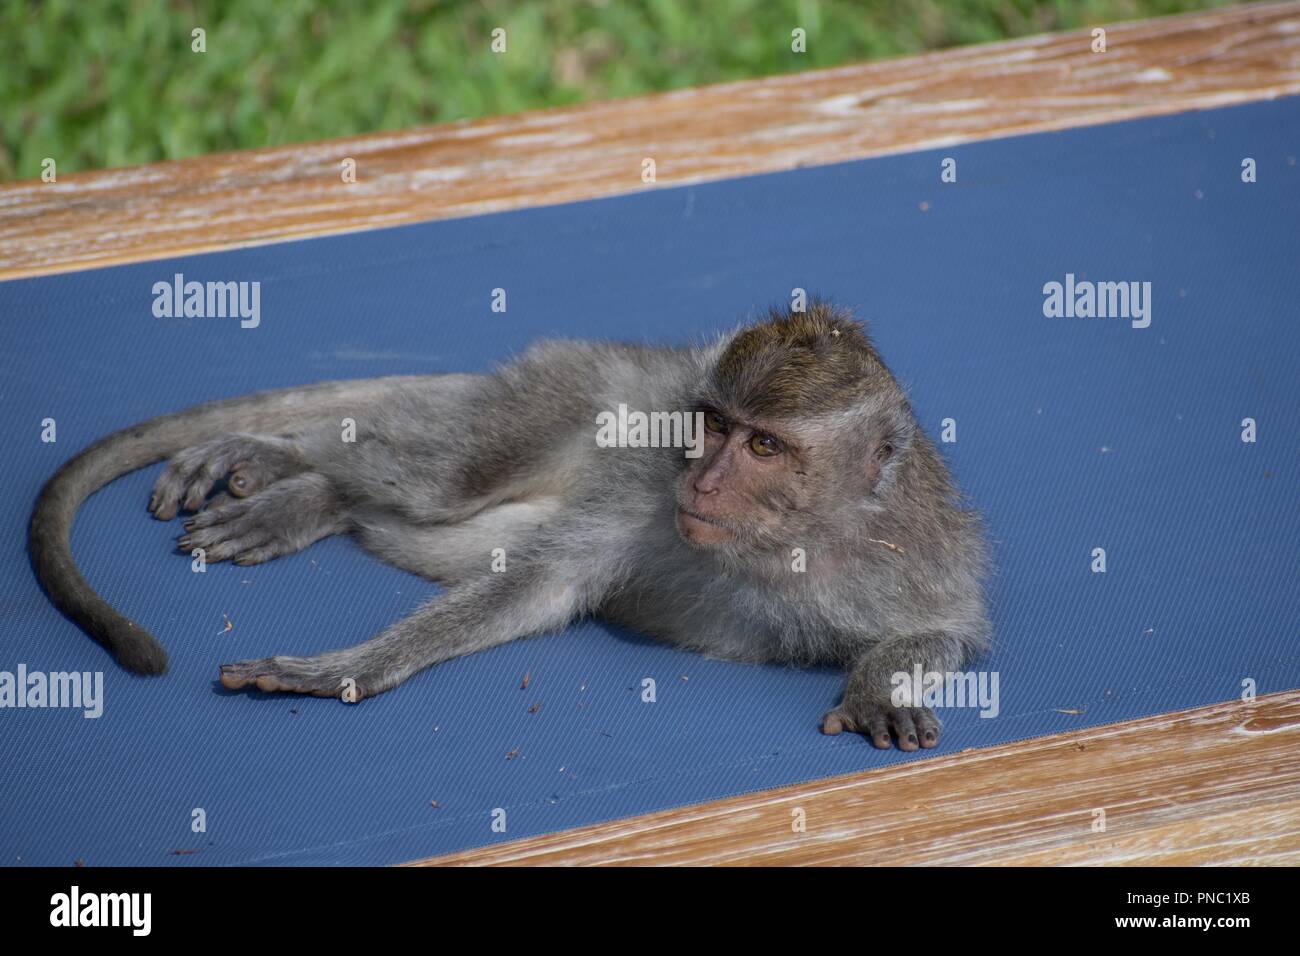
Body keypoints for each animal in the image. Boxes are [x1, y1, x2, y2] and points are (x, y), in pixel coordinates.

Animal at [27, 303, 982, 749]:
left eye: (766, 445)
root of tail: (638, 358)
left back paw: (315, 499)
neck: (782, 544)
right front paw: (351, 671)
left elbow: (949, 632)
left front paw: (879, 686)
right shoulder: (644, 494)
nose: (703, 477)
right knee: (444, 483)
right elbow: (536, 587)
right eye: (711, 424)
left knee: (424, 520)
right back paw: (278, 453)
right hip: (568, 394)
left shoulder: (910, 555)